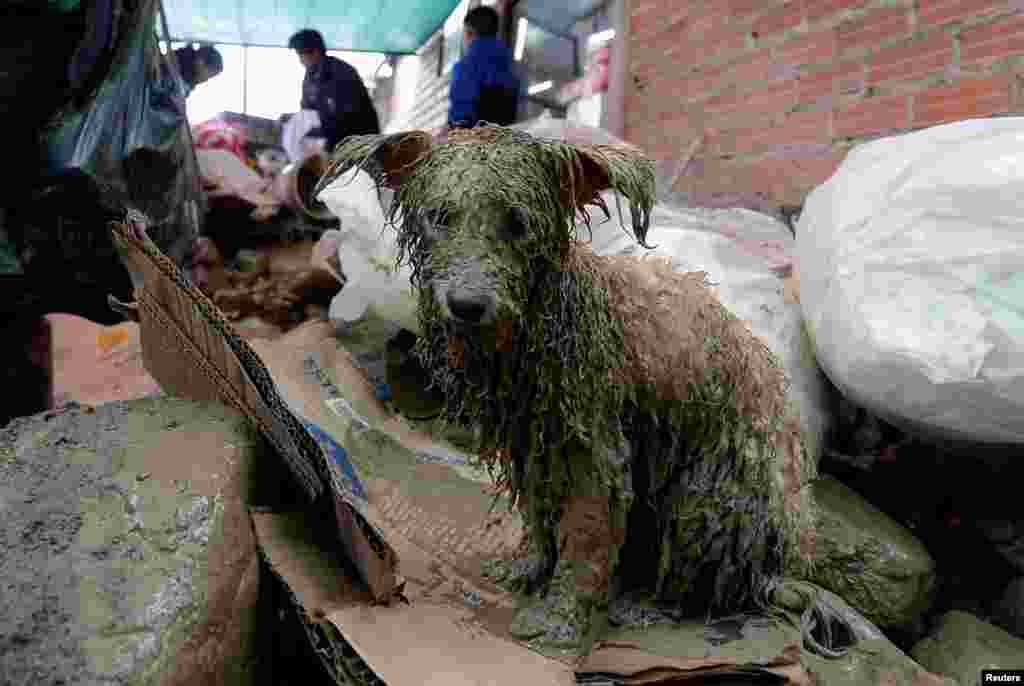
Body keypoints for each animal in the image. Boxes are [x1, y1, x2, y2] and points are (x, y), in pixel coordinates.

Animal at [319, 126, 815, 647]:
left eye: (518, 223)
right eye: (440, 217)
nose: (468, 305)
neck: (545, 327)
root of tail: (776, 568)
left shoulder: (596, 454)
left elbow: (584, 542)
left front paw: (559, 619)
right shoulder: (534, 445)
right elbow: (540, 516)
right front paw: (529, 567)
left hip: (708, 496)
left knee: (704, 579)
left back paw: (651, 606)